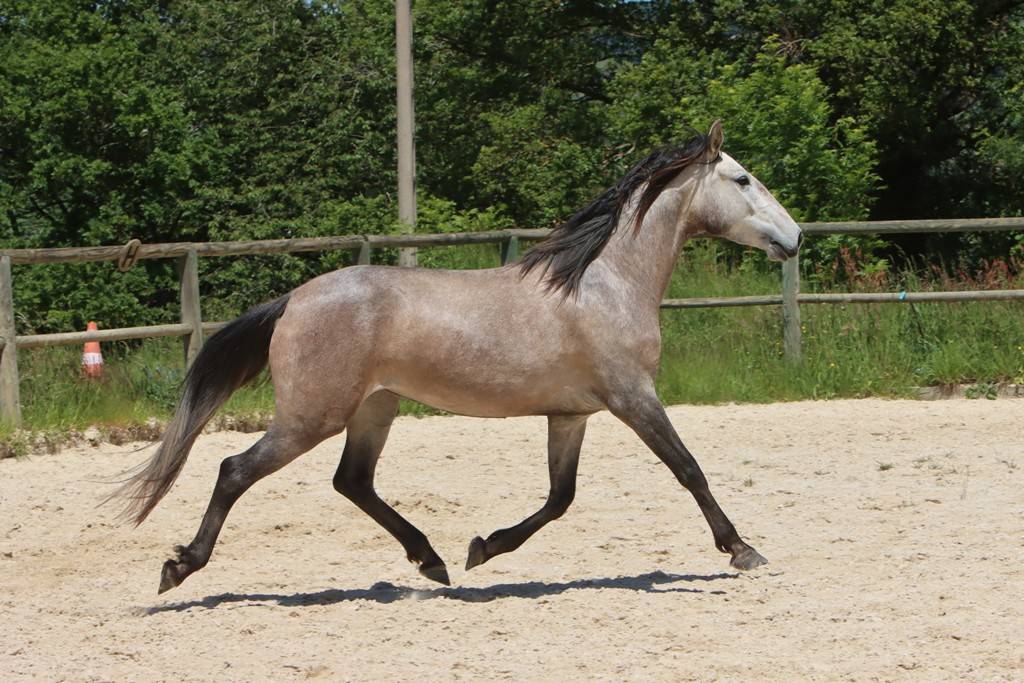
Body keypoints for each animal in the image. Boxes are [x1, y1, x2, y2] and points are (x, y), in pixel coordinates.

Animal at [114, 120, 802, 593]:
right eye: (742, 179)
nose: (795, 237)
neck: (602, 283)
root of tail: (292, 301)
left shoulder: (572, 414)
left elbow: (560, 498)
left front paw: (484, 547)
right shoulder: (633, 397)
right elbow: (688, 470)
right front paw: (742, 549)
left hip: (375, 408)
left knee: (352, 481)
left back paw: (434, 561)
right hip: (313, 416)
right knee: (235, 470)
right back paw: (180, 567)